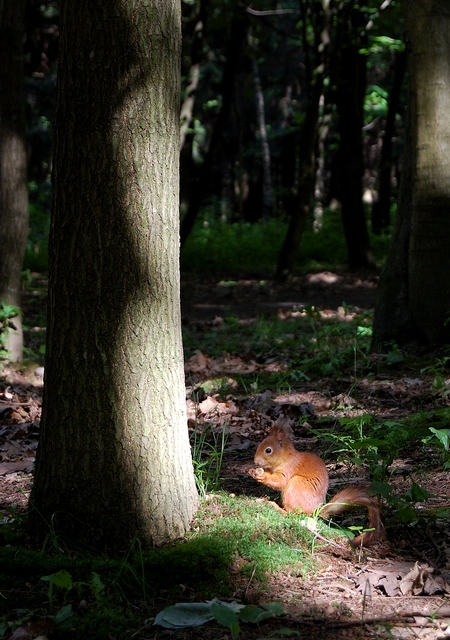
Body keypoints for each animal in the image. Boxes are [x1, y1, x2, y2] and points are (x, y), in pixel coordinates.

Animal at [250, 418, 384, 548]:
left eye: (268, 450)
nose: (255, 461)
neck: (285, 457)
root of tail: (316, 510)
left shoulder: (288, 468)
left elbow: (280, 481)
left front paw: (261, 475)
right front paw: (253, 471)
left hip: (296, 485)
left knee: (293, 513)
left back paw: (275, 506)